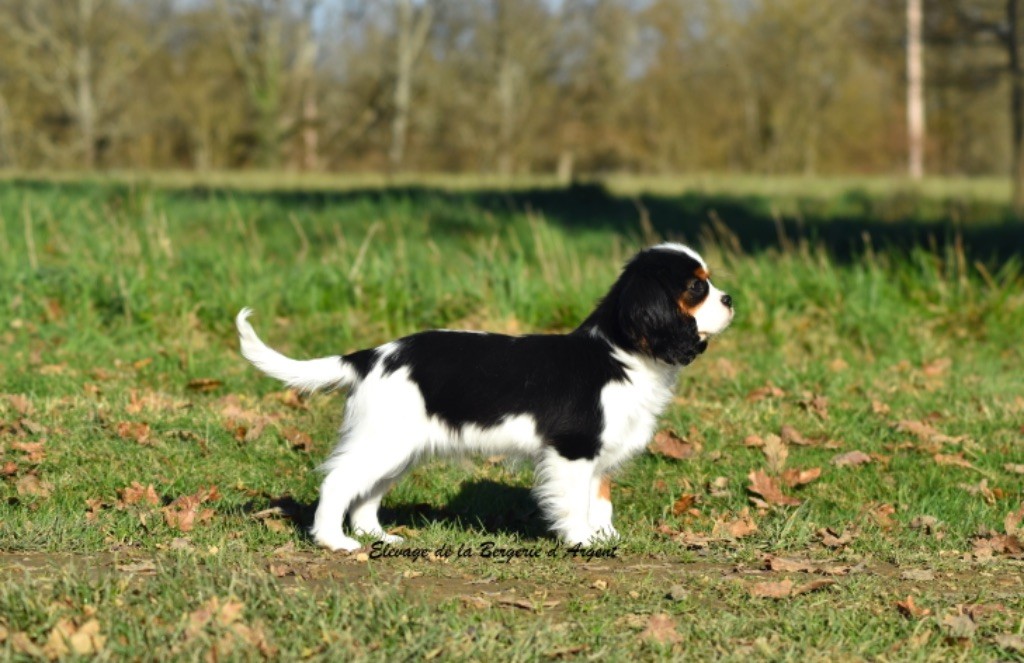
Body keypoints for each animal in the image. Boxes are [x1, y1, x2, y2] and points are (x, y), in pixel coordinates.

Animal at [237, 242, 737, 549]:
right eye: (697, 287)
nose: (731, 299)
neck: (621, 352)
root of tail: (371, 355)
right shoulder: (574, 451)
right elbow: (576, 501)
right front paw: (581, 540)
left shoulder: (599, 455)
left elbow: (601, 498)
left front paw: (605, 537)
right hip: (383, 441)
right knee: (338, 483)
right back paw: (334, 541)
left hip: (397, 448)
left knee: (366, 495)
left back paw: (377, 537)